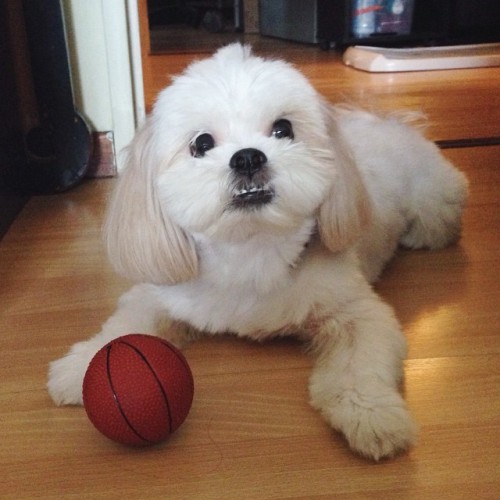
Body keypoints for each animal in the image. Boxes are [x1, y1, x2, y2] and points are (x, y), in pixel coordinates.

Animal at [47, 44, 468, 460]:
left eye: (283, 129)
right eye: (201, 144)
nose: (248, 156)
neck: (250, 250)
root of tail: (388, 121)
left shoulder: (357, 313)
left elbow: (359, 365)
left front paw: (371, 413)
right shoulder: (161, 293)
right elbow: (123, 327)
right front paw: (80, 365)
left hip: (435, 204)